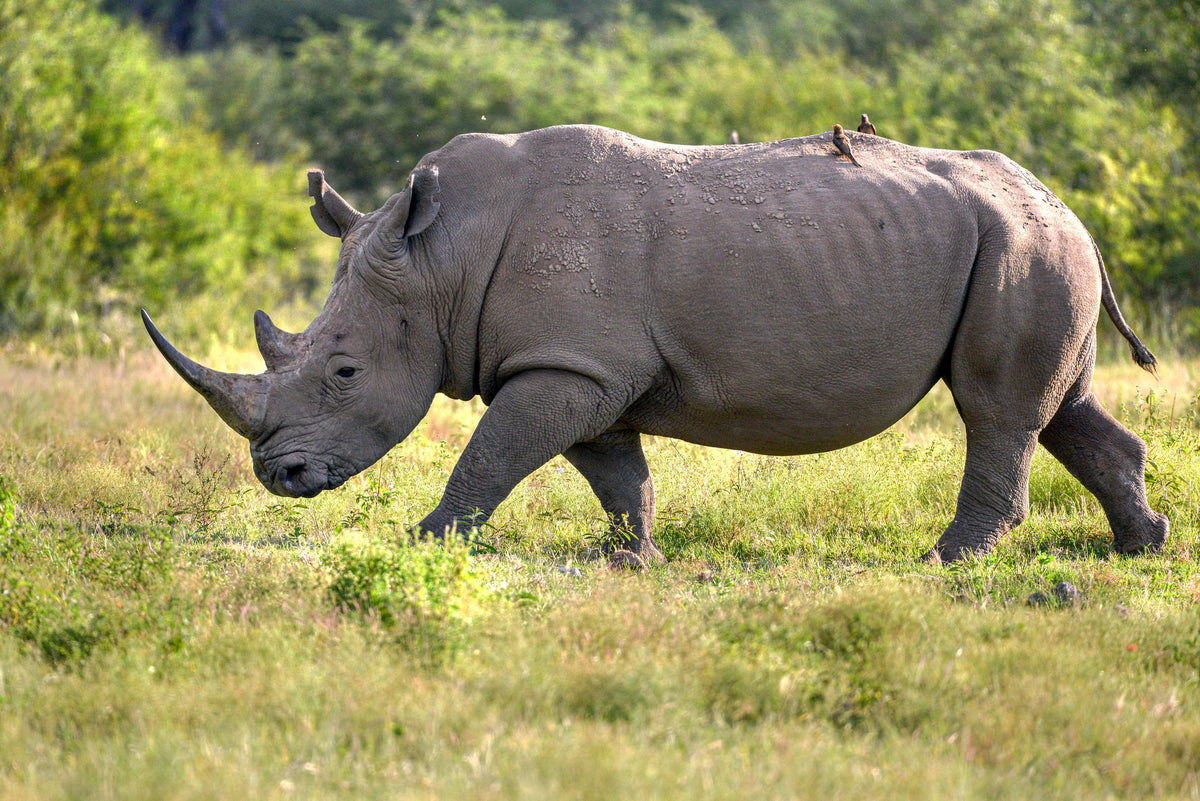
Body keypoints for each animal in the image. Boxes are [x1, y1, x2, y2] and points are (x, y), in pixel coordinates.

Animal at [143, 124, 1168, 563]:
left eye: (345, 370)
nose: (278, 476)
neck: (440, 260)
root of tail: (1071, 209)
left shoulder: (566, 363)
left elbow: (491, 454)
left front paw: (427, 541)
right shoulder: (583, 365)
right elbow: (611, 468)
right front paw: (631, 559)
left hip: (1023, 246)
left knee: (998, 409)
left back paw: (949, 562)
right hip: (1031, 244)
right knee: (1063, 407)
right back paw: (1139, 549)